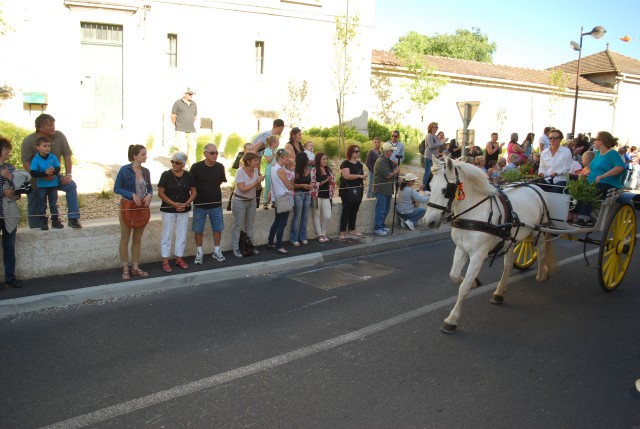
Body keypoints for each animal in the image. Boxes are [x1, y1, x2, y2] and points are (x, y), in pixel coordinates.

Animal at [424, 155, 556, 332]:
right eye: (430, 186)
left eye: (446, 190)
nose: (429, 221)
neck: (474, 213)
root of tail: (536, 186)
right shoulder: (461, 249)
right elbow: (454, 275)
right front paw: (474, 283)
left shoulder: (479, 255)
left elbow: (463, 287)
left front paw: (451, 320)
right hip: (511, 239)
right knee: (508, 265)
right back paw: (499, 293)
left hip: (539, 232)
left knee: (541, 253)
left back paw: (541, 275)